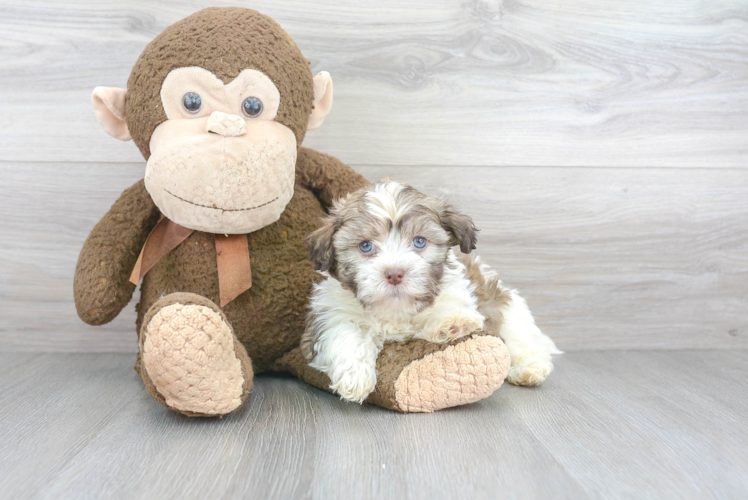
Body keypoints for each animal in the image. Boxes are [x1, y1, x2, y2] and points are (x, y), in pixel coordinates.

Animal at [300, 180, 560, 402]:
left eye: (419, 242)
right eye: (365, 246)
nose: (395, 273)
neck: (395, 310)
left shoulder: (457, 290)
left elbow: (451, 305)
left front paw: (452, 322)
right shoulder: (329, 314)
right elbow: (344, 333)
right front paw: (355, 377)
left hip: (506, 306)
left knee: (520, 340)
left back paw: (529, 368)